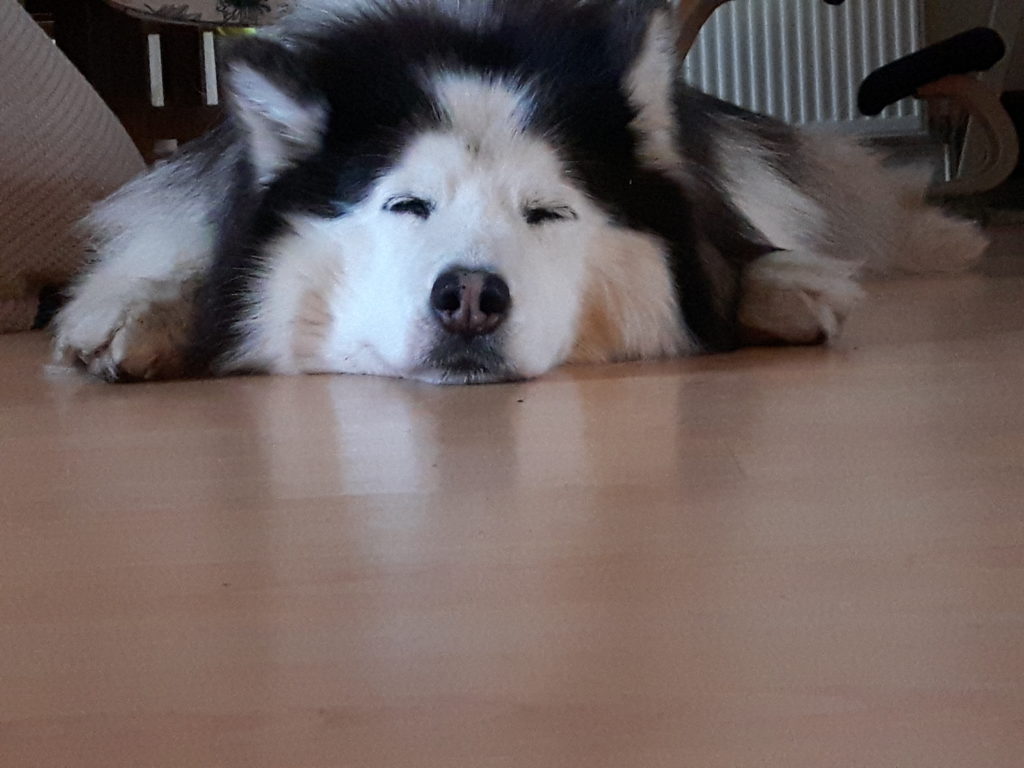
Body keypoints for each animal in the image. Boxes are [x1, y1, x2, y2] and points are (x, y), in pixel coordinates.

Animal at [51, 0, 987, 385]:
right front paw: (138, 312)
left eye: (549, 213)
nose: (469, 297)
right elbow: (183, 259)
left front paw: (778, 284)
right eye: (406, 206)